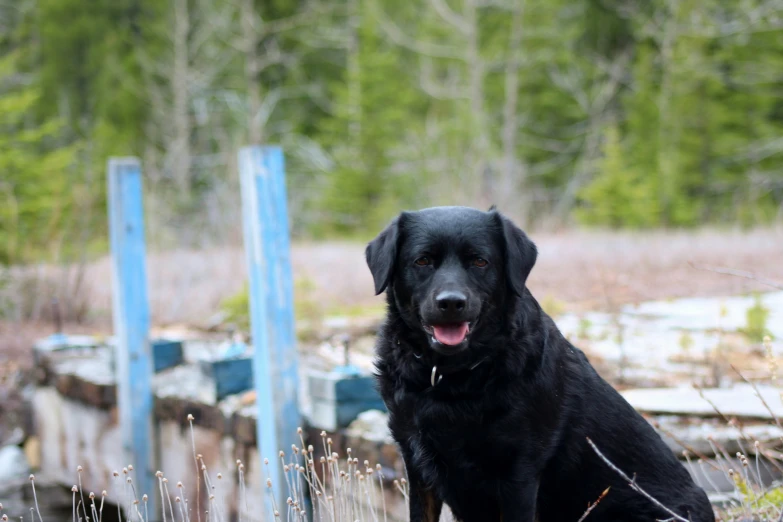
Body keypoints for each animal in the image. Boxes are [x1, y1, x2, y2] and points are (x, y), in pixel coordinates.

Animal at [364, 206, 712, 520]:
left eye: (480, 261)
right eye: (422, 261)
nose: (451, 302)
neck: (452, 376)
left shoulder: (519, 475)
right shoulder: (417, 466)